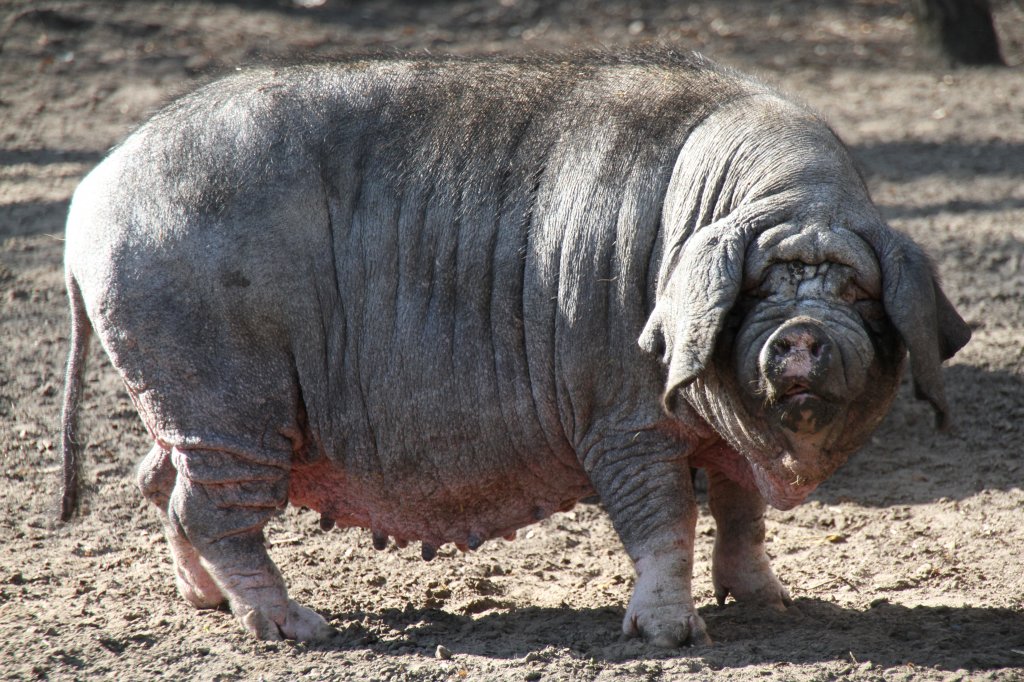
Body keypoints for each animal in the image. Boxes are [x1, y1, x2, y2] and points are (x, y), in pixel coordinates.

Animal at [59, 51, 970, 643]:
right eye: (763, 288)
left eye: (855, 291)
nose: (802, 335)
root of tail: (88, 197)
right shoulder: (617, 412)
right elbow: (663, 514)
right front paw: (671, 637)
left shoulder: (716, 431)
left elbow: (739, 510)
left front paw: (771, 609)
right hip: (225, 396)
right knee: (208, 508)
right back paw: (299, 629)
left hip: (183, 403)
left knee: (157, 481)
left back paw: (207, 608)